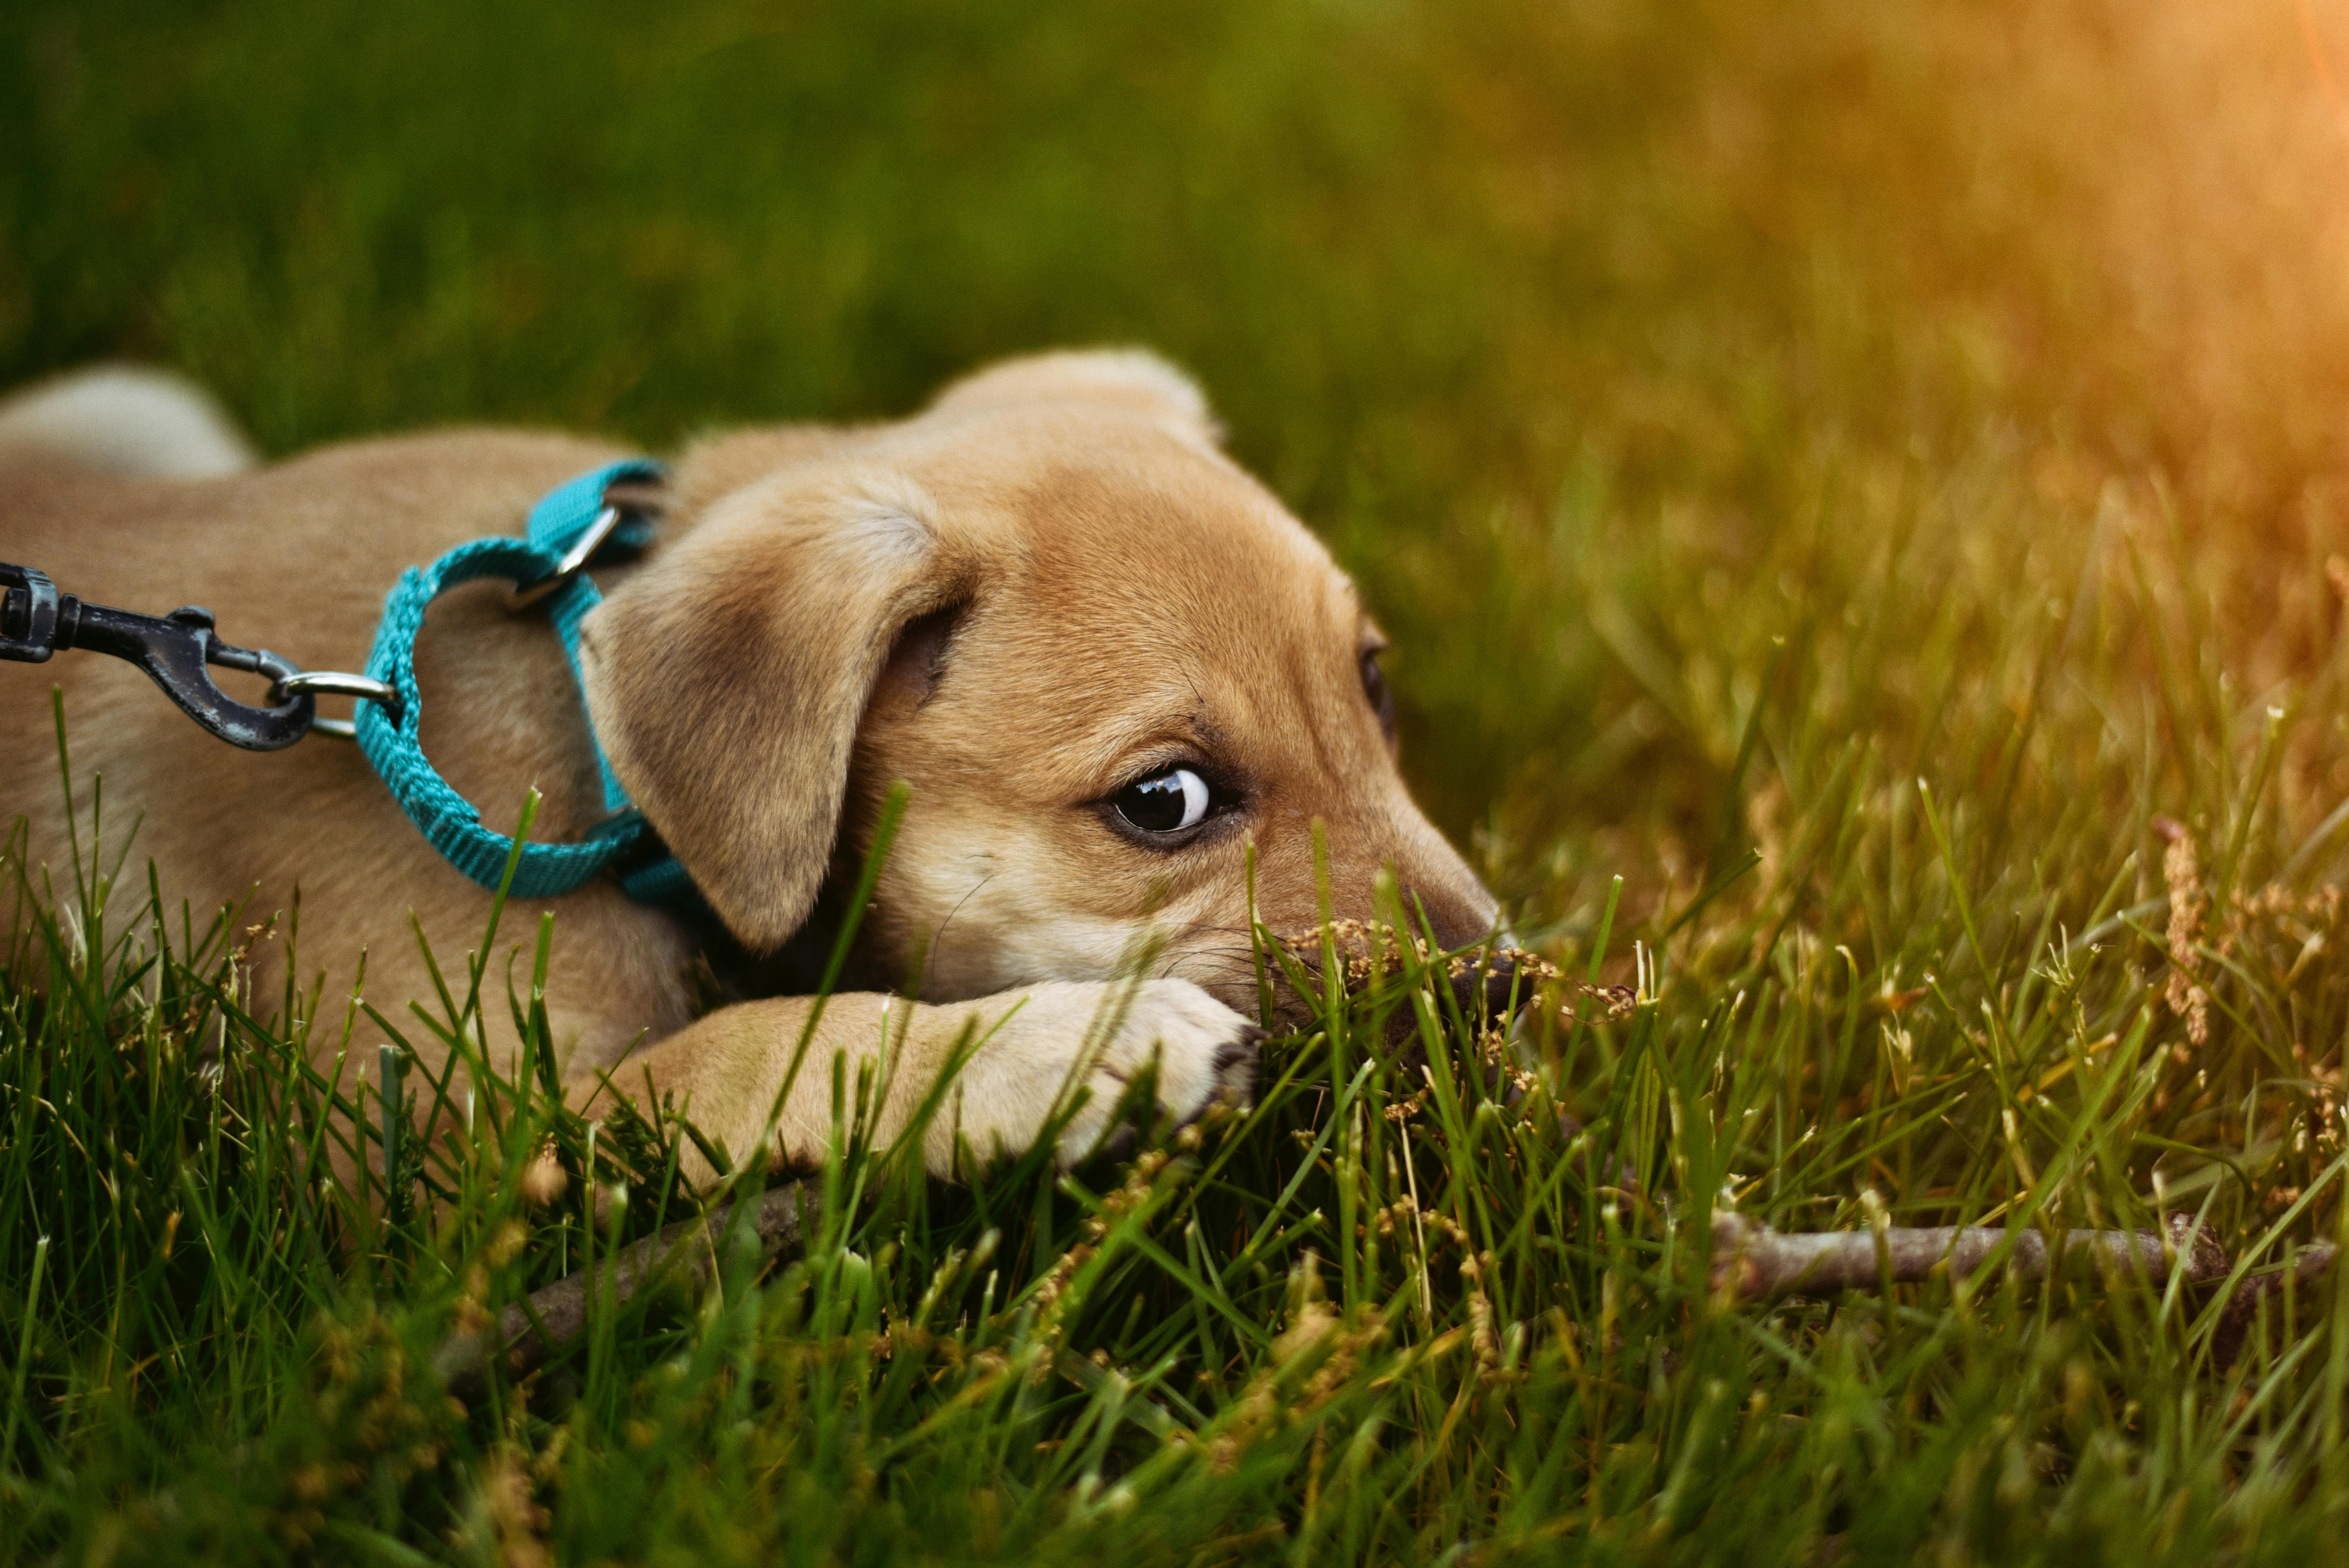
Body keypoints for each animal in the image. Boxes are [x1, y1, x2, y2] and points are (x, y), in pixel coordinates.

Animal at [0, 352, 1503, 1173]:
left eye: (1372, 682)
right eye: (1166, 801)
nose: (1496, 992)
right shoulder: (435, 1146)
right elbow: (758, 1047)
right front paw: (1070, 1049)